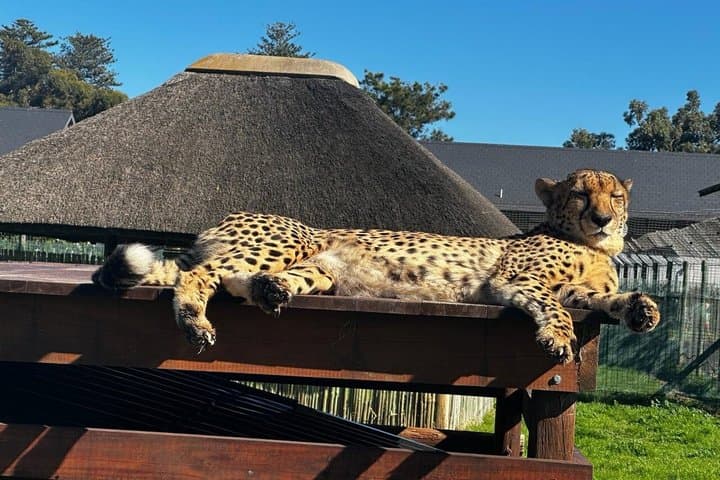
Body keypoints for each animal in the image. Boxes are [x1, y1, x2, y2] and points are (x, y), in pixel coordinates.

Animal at [92, 168, 660, 363]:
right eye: (581, 194)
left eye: (615, 196)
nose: (604, 218)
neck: (592, 245)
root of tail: (226, 217)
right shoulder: (518, 279)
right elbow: (554, 307)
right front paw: (559, 337)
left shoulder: (578, 289)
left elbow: (600, 299)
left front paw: (641, 309)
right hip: (289, 239)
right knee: (198, 275)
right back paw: (195, 319)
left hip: (317, 268)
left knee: (238, 279)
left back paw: (271, 292)